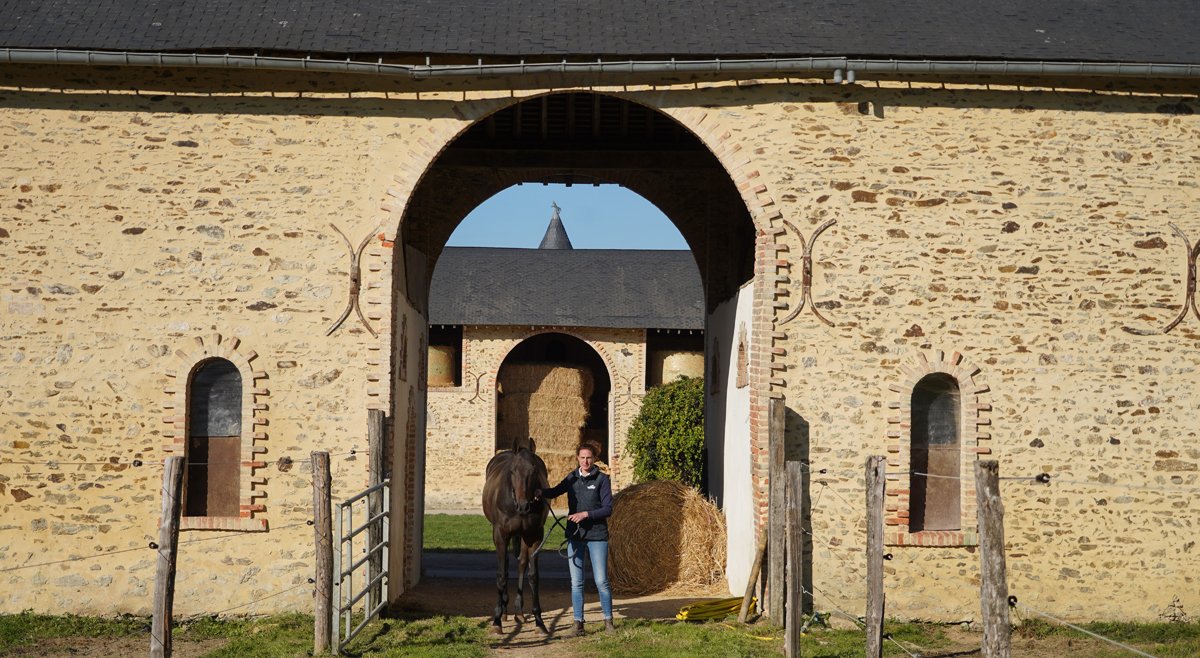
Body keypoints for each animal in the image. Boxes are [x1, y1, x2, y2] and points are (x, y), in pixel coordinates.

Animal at [481, 437, 551, 634]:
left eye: (534, 470)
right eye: (512, 470)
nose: (524, 506)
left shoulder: (534, 535)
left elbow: (533, 575)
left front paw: (539, 621)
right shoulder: (500, 534)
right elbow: (501, 574)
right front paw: (497, 620)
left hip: (523, 536)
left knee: (521, 563)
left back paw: (519, 610)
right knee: (505, 565)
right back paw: (504, 610)